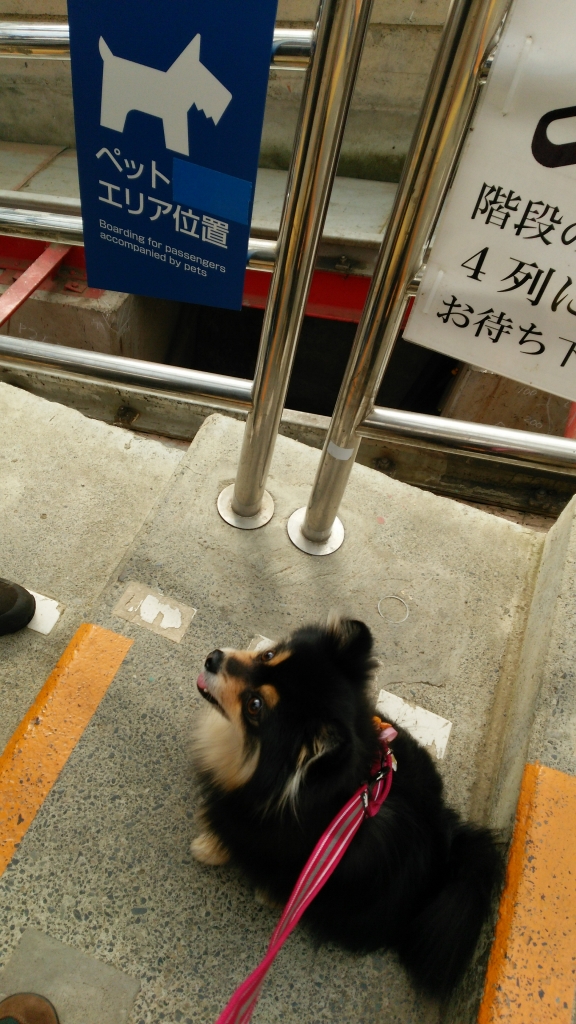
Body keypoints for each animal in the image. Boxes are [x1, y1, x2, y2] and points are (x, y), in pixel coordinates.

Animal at [192, 617, 501, 999]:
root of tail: (445, 860)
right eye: (268, 654)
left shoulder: (260, 833)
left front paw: (207, 848)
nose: (213, 658)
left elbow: (235, 839)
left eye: (255, 705)